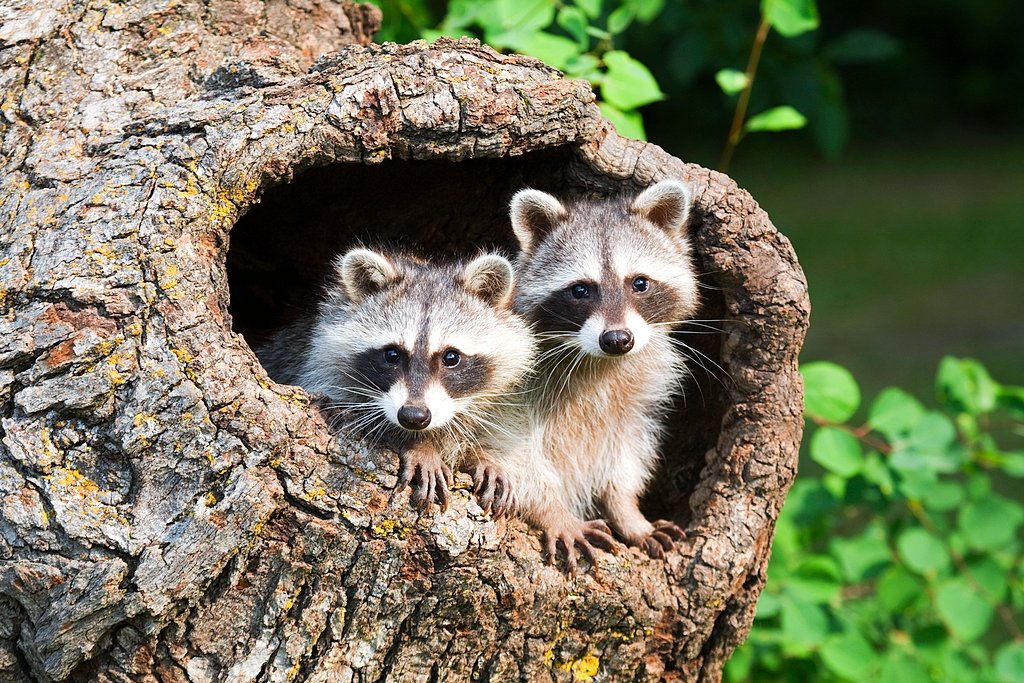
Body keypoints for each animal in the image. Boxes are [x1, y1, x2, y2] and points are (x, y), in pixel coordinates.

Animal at [257, 247, 536, 515]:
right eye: (392, 354)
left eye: (451, 357)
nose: (413, 416)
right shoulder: (318, 370)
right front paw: (419, 445)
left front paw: (484, 456)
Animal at [507, 180, 699, 561]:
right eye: (580, 289)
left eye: (639, 283)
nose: (617, 340)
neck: (600, 362)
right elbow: (511, 456)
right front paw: (553, 511)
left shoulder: (636, 396)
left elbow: (624, 455)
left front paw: (628, 511)